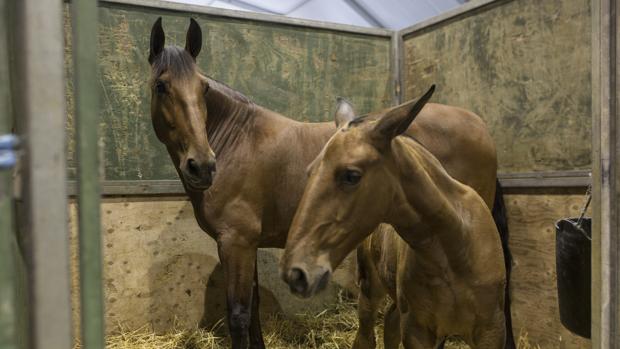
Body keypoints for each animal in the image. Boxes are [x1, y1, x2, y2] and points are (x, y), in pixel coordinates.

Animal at [280, 85, 508, 346]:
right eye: (310, 171)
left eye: (351, 175)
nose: (296, 273)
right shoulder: (417, 330)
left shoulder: (491, 331)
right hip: (370, 289)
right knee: (367, 336)